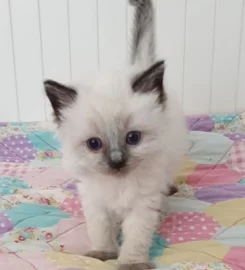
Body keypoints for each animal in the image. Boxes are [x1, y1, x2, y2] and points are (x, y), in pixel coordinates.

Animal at [44, 0, 186, 270]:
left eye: (133, 138)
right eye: (93, 144)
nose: (117, 162)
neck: (118, 185)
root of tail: (137, 66)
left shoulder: (142, 206)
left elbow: (135, 239)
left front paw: (131, 263)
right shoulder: (96, 204)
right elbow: (101, 231)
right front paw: (103, 254)